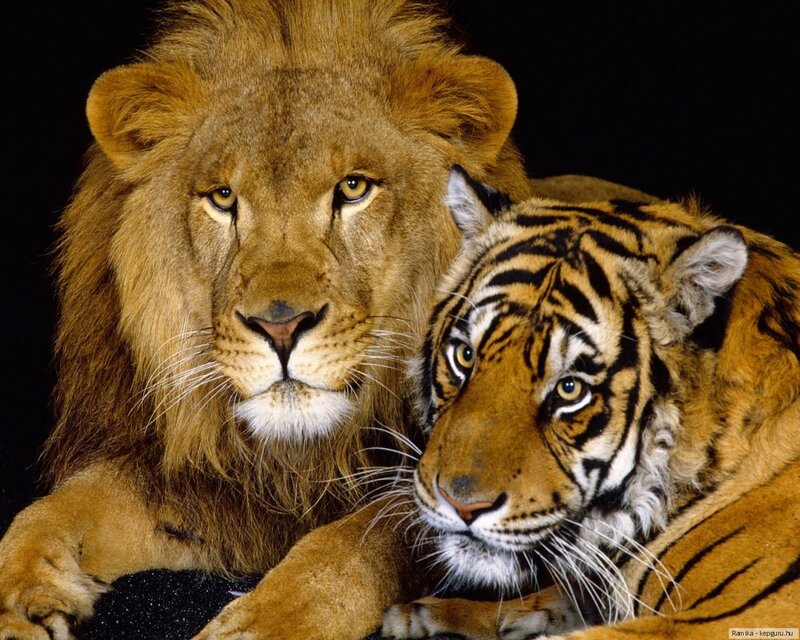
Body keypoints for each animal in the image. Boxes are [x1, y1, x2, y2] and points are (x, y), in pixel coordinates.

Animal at [0, 1, 652, 639]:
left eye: (353, 188)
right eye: (223, 197)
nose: (281, 327)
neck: (302, 457)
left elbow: (355, 543)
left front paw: (266, 620)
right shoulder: (205, 488)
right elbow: (55, 511)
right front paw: (20, 603)